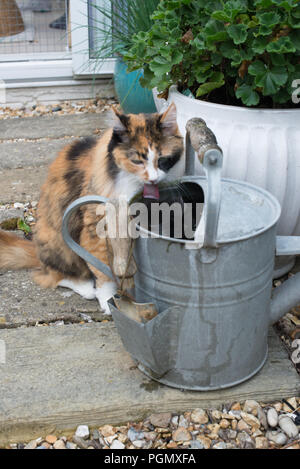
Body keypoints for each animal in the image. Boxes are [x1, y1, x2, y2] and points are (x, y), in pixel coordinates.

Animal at [0, 104, 184, 312]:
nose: (153, 179)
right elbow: (103, 271)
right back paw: (87, 288)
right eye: (137, 161)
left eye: (162, 160)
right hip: (59, 241)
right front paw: (109, 301)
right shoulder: (95, 228)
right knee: (54, 275)